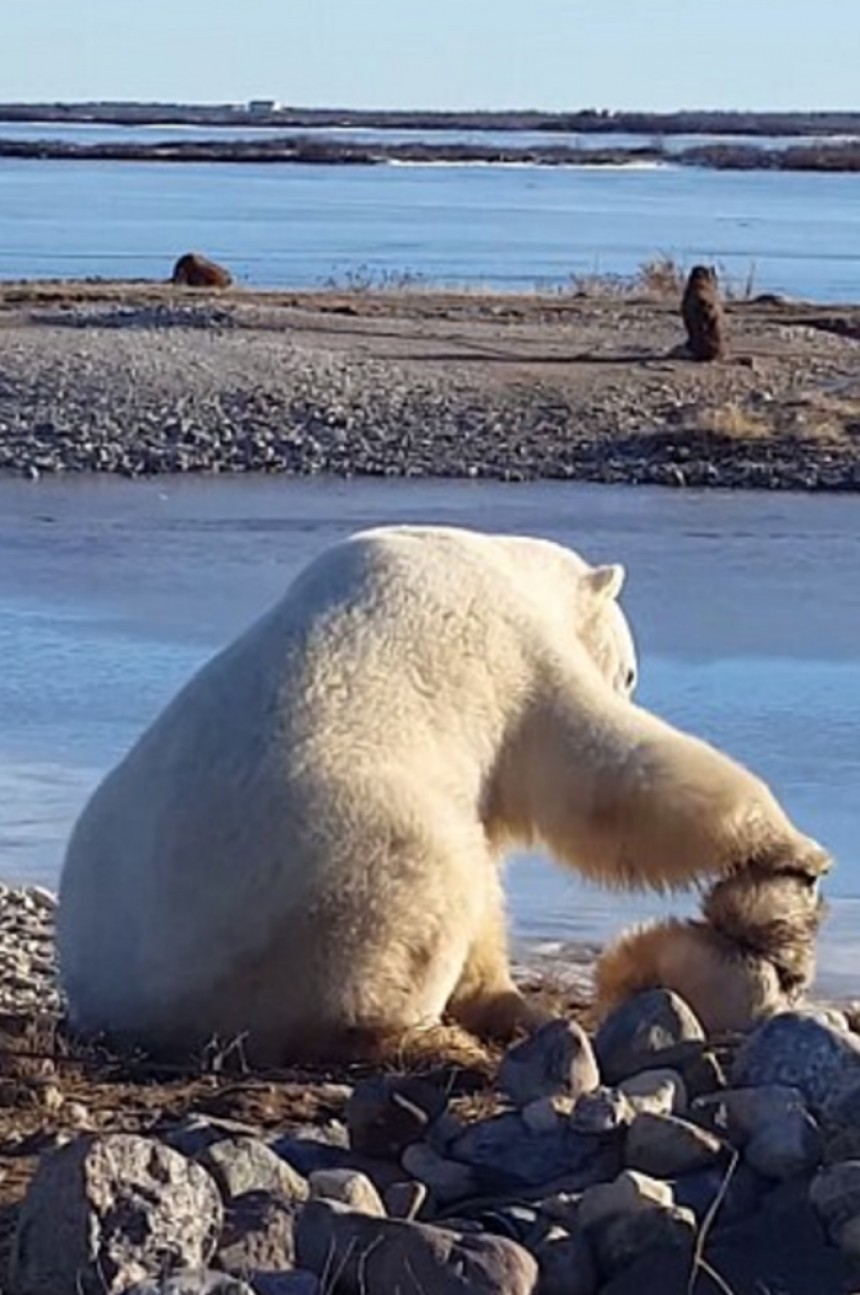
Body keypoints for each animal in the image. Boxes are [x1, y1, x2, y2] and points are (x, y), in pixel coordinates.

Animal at [56, 523, 828, 1061]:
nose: (630, 681)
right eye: (633, 670)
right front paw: (796, 850)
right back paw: (426, 1038)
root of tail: (130, 1007)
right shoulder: (511, 654)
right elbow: (602, 770)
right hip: (322, 878)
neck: (498, 562)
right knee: (426, 888)